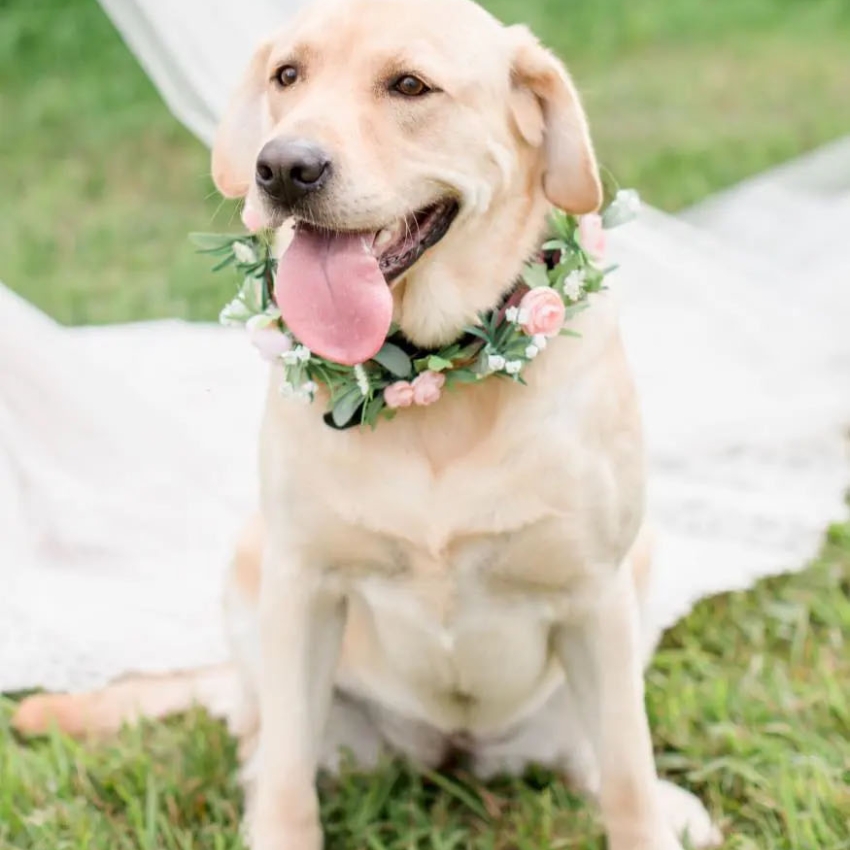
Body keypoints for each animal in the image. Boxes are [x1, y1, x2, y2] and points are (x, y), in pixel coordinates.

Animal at [13, 1, 720, 848]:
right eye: (287, 75)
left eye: (409, 85)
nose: (283, 168)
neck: (425, 375)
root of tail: (454, 751)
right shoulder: (302, 585)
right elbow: (288, 775)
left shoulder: (593, 593)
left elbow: (625, 773)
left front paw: (648, 814)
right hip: (252, 568)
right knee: (262, 742)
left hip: (637, 573)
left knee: (596, 752)